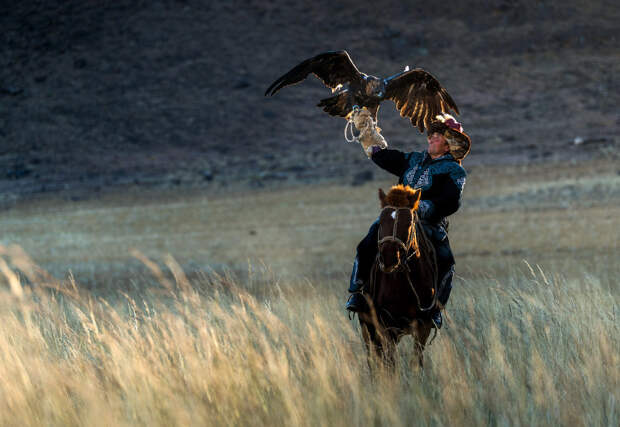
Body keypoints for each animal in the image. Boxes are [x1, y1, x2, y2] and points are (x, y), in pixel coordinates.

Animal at [356, 186, 438, 370]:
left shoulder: (423, 326)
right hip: (367, 326)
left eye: (408, 223)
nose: (389, 258)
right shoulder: (385, 325)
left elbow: (416, 361)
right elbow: (390, 364)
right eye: (381, 221)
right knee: (373, 357)